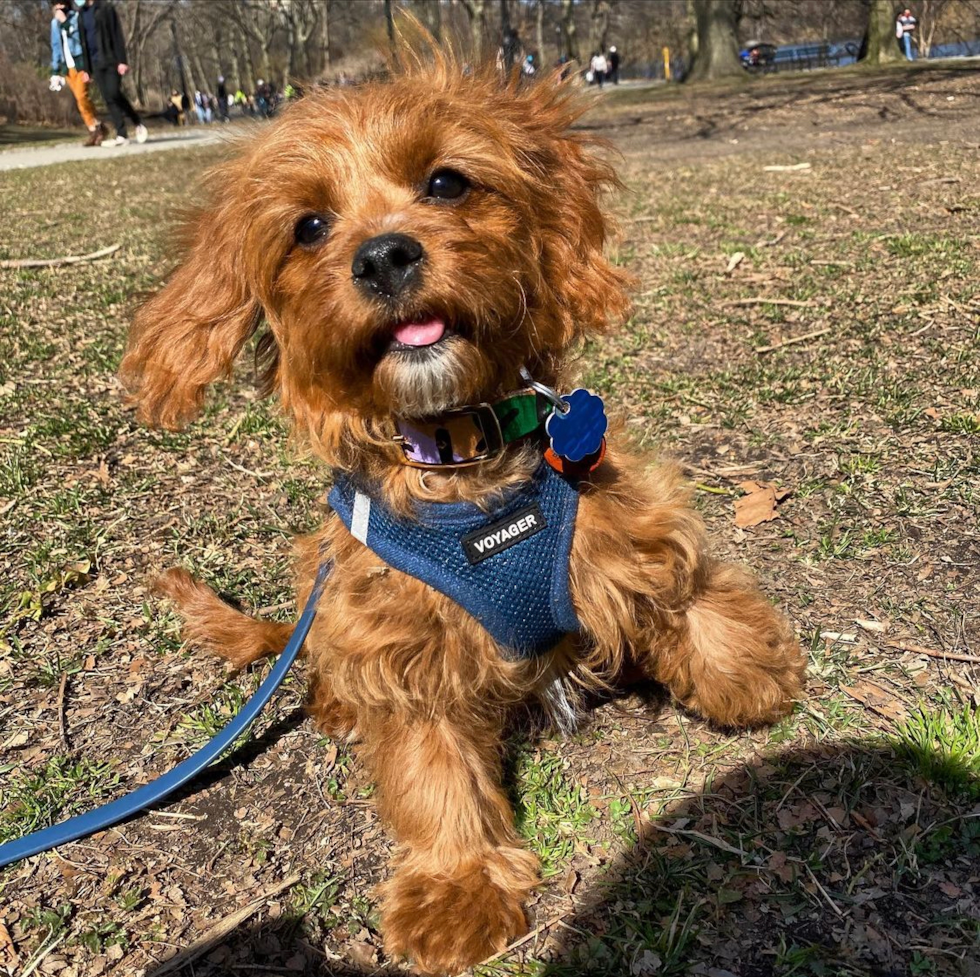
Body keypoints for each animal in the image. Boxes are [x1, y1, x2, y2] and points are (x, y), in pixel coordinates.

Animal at [120, 55, 804, 976]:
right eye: (308, 226)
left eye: (446, 181)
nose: (383, 255)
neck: (462, 462)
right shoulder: (401, 649)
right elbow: (432, 773)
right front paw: (456, 888)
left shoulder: (619, 517)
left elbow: (687, 589)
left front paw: (749, 670)